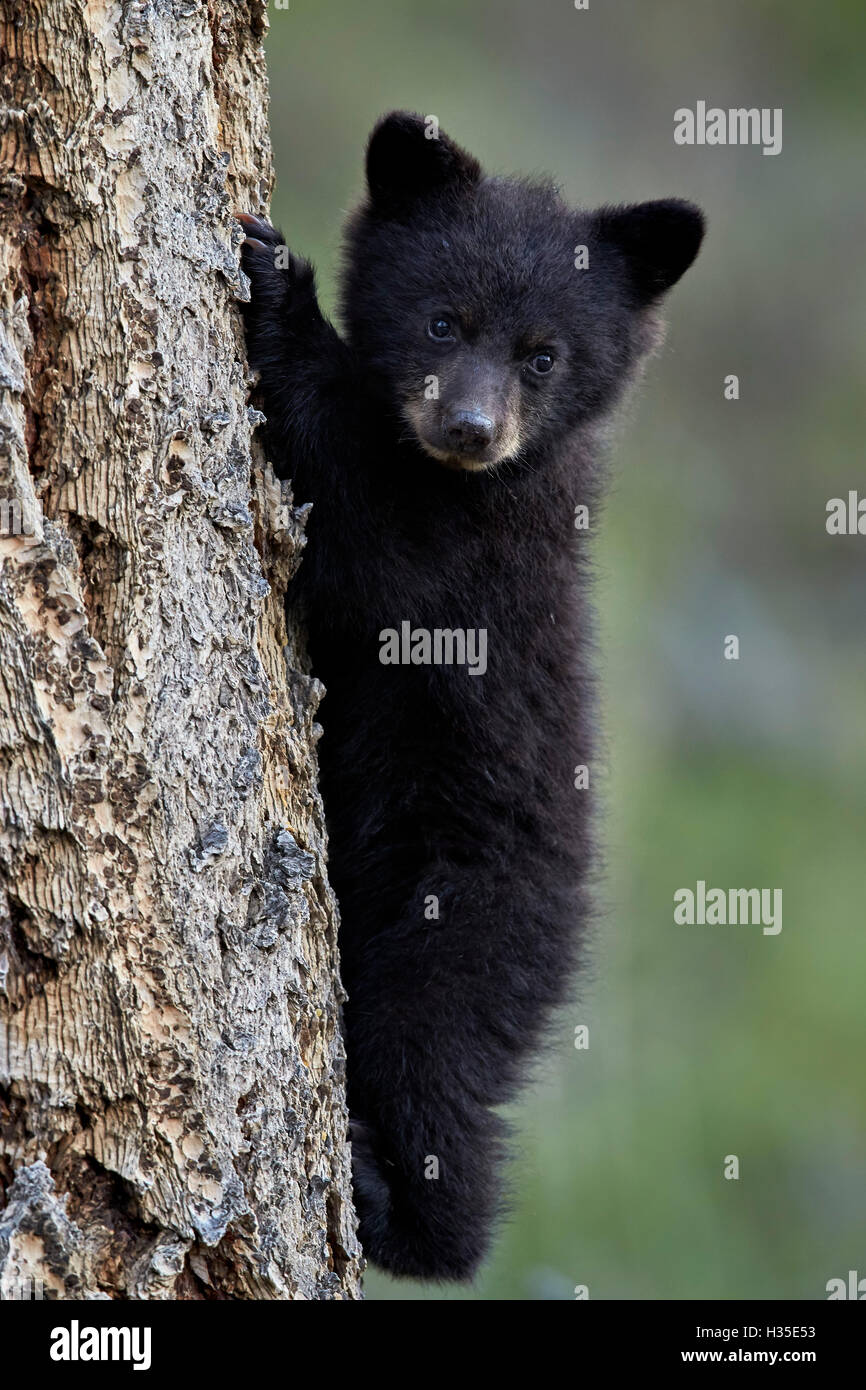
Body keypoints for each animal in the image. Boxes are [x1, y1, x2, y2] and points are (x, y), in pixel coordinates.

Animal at [238, 111, 704, 1282]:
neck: (467, 484)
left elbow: (367, 550)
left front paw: (281, 294)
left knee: (434, 1073)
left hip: (466, 927)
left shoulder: (471, 569)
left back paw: (398, 1207)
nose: (469, 427)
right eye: (441, 319)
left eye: (544, 354)